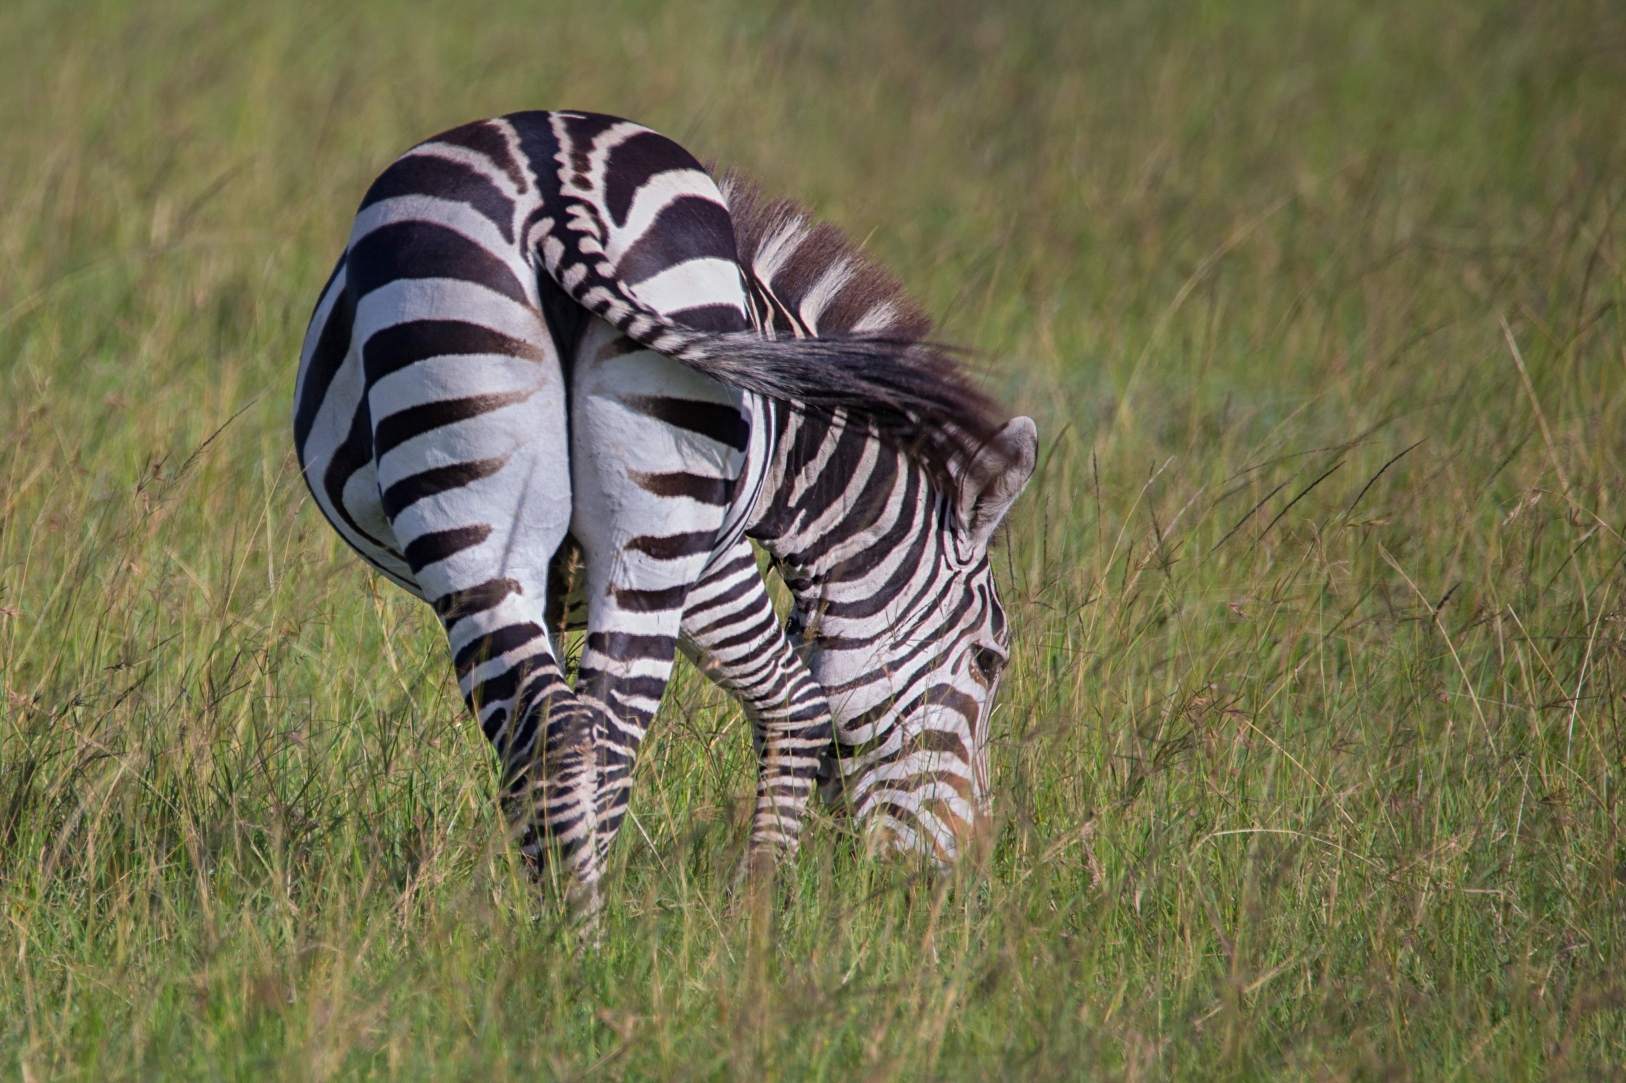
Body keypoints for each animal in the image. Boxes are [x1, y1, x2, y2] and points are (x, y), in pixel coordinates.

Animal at [294, 111, 1034, 910]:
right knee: (600, 732)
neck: (797, 442)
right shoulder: (715, 564)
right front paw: (756, 907)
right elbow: (799, 707)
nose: (961, 874)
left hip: (504, 509)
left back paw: (561, 930)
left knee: (568, 730)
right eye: (989, 661)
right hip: (642, 514)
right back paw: (585, 928)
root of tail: (560, 191)